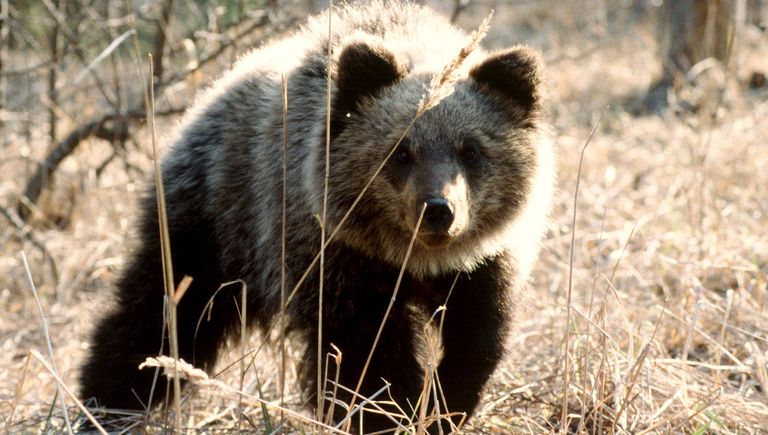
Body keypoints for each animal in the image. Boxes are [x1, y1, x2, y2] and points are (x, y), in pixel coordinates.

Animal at [79, 1, 554, 432]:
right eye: (401, 151)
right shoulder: (337, 260)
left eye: (471, 150)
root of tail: (213, 90)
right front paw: (388, 413)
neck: (413, 260)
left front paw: (442, 406)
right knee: (160, 314)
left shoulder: (482, 264)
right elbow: (365, 358)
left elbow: (478, 336)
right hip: (216, 223)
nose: (437, 210)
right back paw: (105, 403)